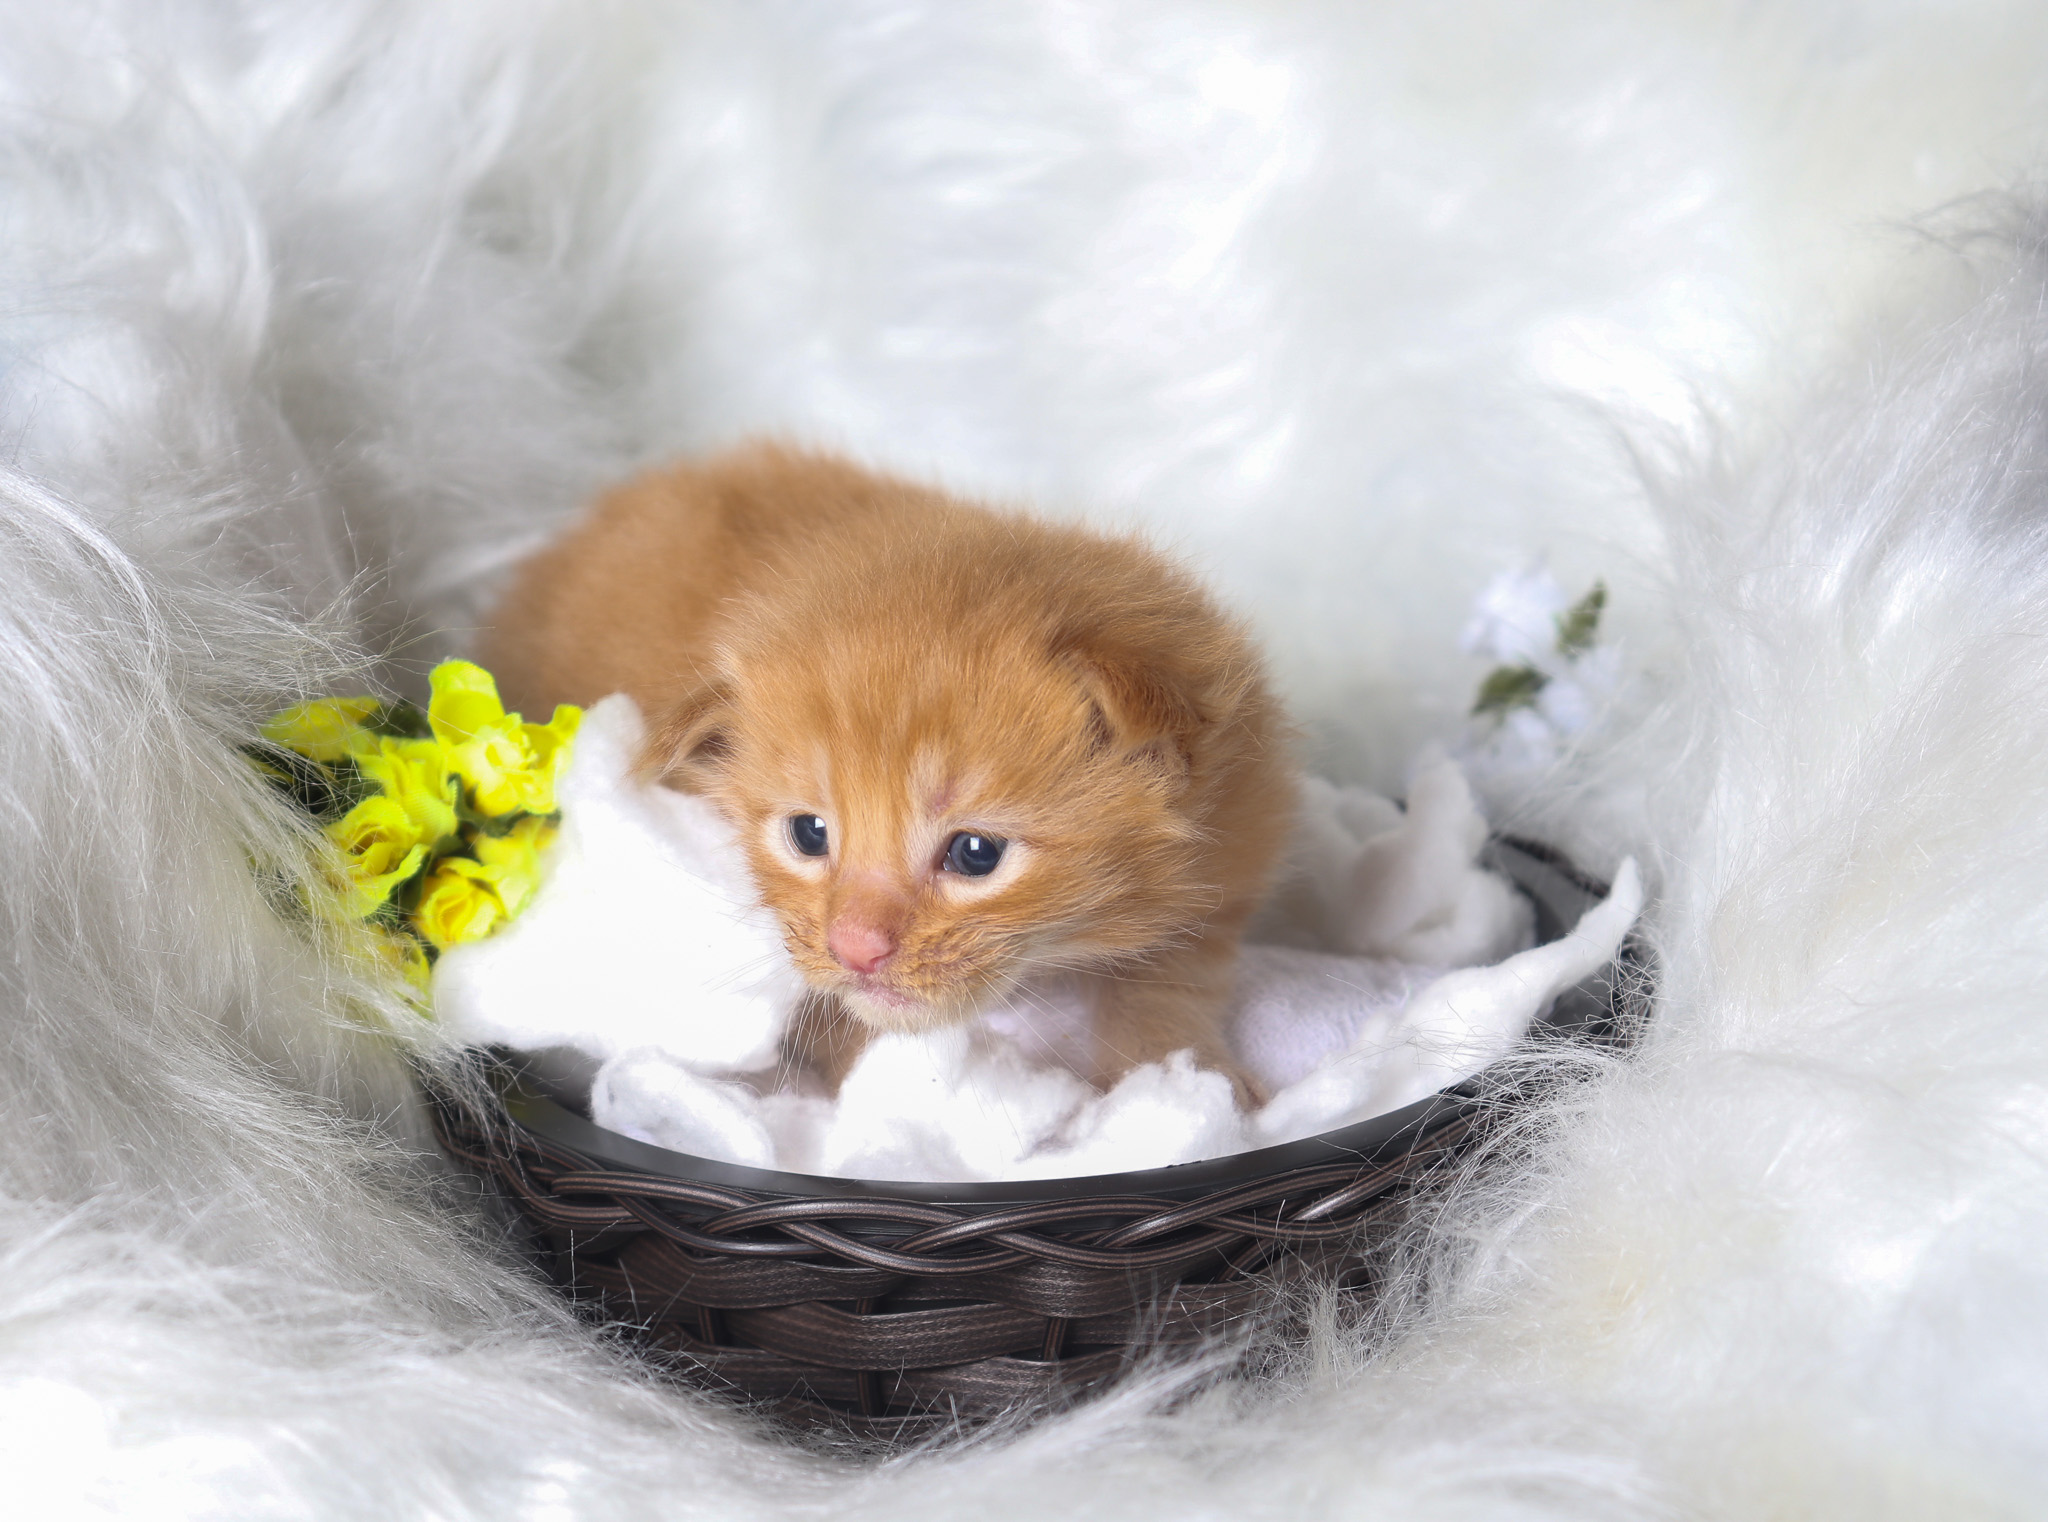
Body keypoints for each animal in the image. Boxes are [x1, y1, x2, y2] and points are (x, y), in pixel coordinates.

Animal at [483, 443, 1294, 1106]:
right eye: (810, 835)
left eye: (976, 854)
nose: (856, 951)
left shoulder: (1227, 856)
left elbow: (1169, 980)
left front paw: (1186, 1076)